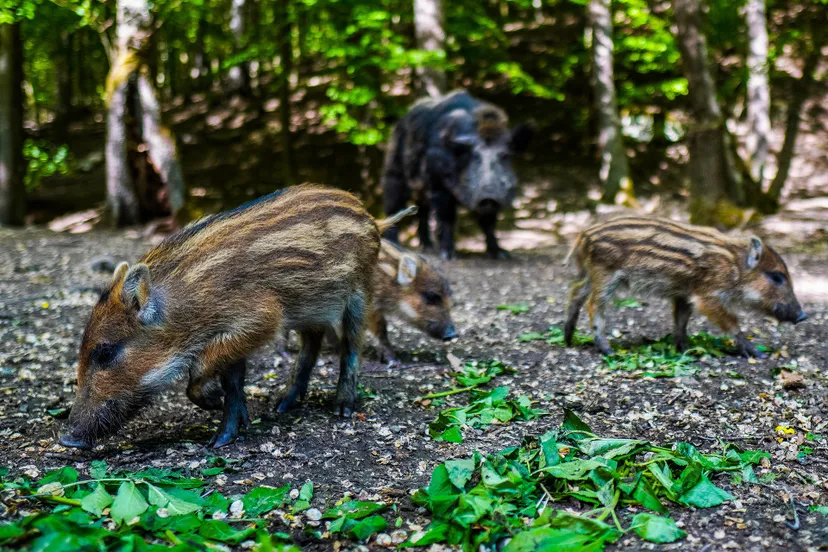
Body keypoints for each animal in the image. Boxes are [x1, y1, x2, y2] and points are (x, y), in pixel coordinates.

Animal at [60, 185, 416, 449]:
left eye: (106, 353)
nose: (66, 439)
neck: (187, 305)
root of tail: (373, 219)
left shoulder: (262, 317)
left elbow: (203, 371)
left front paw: (217, 417)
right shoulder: (236, 333)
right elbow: (232, 379)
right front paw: (230, 428)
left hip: (358, 294)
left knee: (351, 346)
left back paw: (342, 408)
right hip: (310, 310)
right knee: (311, 346)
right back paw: (284, 404)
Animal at [381, 90, 533, 260]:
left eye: (505, 155)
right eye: (475, 156)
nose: (488, 196)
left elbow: (489, 223)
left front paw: (501, 254)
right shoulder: (438, 184)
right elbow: (447, 218)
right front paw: (448, 256)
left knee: (423, 212)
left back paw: (428, 248)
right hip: (395, 172)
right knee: (393, 204)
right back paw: (395, 243)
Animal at [564, 217, 807, 358]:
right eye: (776, 277)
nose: (803, 316)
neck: (734, 267)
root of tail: (584, 236)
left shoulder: (684, 293)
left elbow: (681, 320)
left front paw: (683, 348)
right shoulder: (707, 296)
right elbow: (731, 321)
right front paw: (756, 353)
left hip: (591, 274)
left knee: (576, 292)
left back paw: (568, 338)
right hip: (605, 275)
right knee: (593, 305)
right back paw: (607, 350)